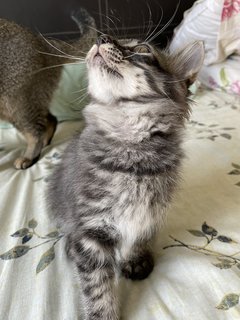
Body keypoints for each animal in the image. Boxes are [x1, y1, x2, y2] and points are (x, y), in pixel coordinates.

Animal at [0, 7, 95, 169]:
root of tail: (42, 41)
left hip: (17, 104)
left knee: (35, 131)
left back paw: (30, 156)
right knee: (50, 119)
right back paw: (45, 142)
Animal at [47, 35, 204, 320]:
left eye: (142, 49)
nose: (101, 37)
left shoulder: (149, 212)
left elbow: (138, 238)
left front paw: (134, 259)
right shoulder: (92, 227)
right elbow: (98, 288)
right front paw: (103, 314)